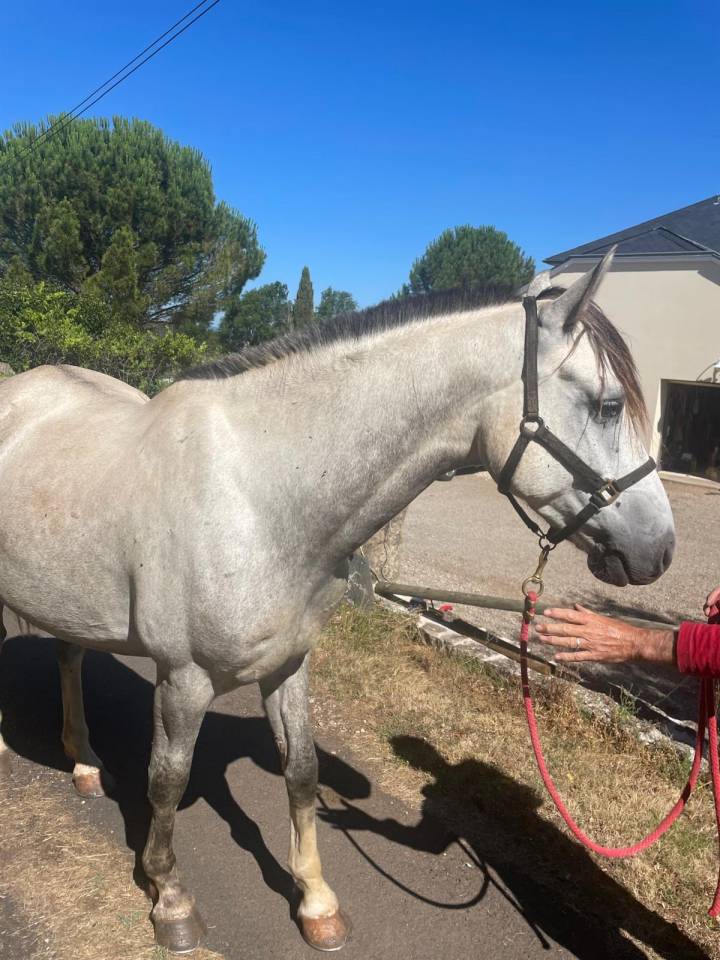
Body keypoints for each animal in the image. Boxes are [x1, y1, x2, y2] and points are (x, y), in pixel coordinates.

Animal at [0, 250, 675, 952]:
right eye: (607, 405)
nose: (660, 548)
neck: (257, 493)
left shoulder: (288, 664)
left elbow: (300, 771)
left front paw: (316, 902)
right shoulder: (184, 678)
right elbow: (167, 780)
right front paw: (170, 900)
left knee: (70, 658)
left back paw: (83, 764)